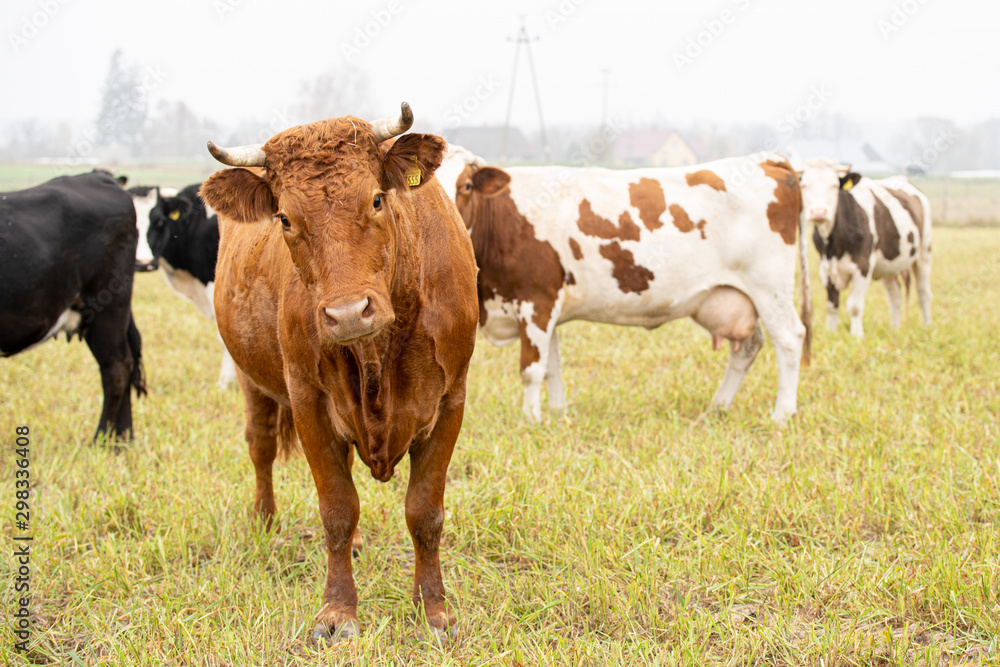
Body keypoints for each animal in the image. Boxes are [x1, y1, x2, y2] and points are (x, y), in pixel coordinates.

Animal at [201, 105, 478, 648]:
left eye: (376, 198)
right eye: (285, 218)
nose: (348, 313)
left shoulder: (449, 399)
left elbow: (425, 512)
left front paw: (433, 611)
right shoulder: (308, 402)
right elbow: (336, 509)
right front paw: (337, 612)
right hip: (252, 381)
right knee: (261, 447)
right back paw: (265, 523)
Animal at [456, 155, 812, 422]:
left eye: (466, 185)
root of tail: (768, 159)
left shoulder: (535, 301)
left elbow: (532, 370)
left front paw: (530, 420)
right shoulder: (548, 305)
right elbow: (552, 367)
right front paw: (557, 416)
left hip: (770, 288)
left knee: (789, 339)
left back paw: (782, 415)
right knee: (749, 347)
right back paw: (716, 408)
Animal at [796, 158, 928, 340]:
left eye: (834, 186)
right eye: (804, 186)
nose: (818, 213)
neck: (834, 244)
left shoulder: (863, 266)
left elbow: (854, 305)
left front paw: (856, 336)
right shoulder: (825, 268)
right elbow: (831, 305)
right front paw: (831, 332)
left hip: (924, 253)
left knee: (923, 293)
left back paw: (927, 326)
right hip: (888, 265)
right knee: (895, 295)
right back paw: (895, 328)